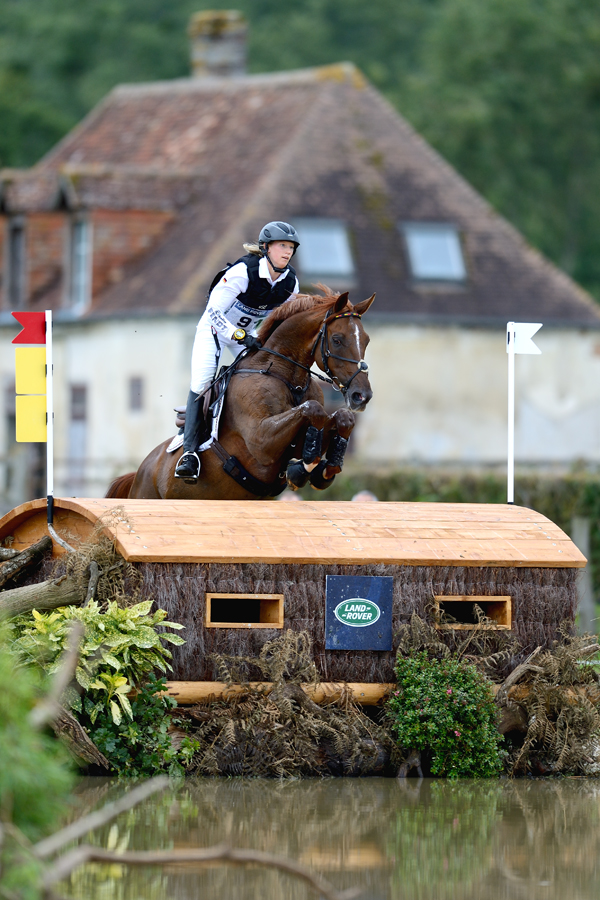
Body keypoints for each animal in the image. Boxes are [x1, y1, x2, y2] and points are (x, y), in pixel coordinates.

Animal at [105, 288, 372, 500]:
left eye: (367, 340)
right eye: (337, 340)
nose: (362, 396)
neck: (288, 379)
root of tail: (139, 472)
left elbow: (341, 418)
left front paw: (322, 470)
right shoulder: (261, 441)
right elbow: (313, 411)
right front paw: (302, 471)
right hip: (147, 494)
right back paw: (187, 464)